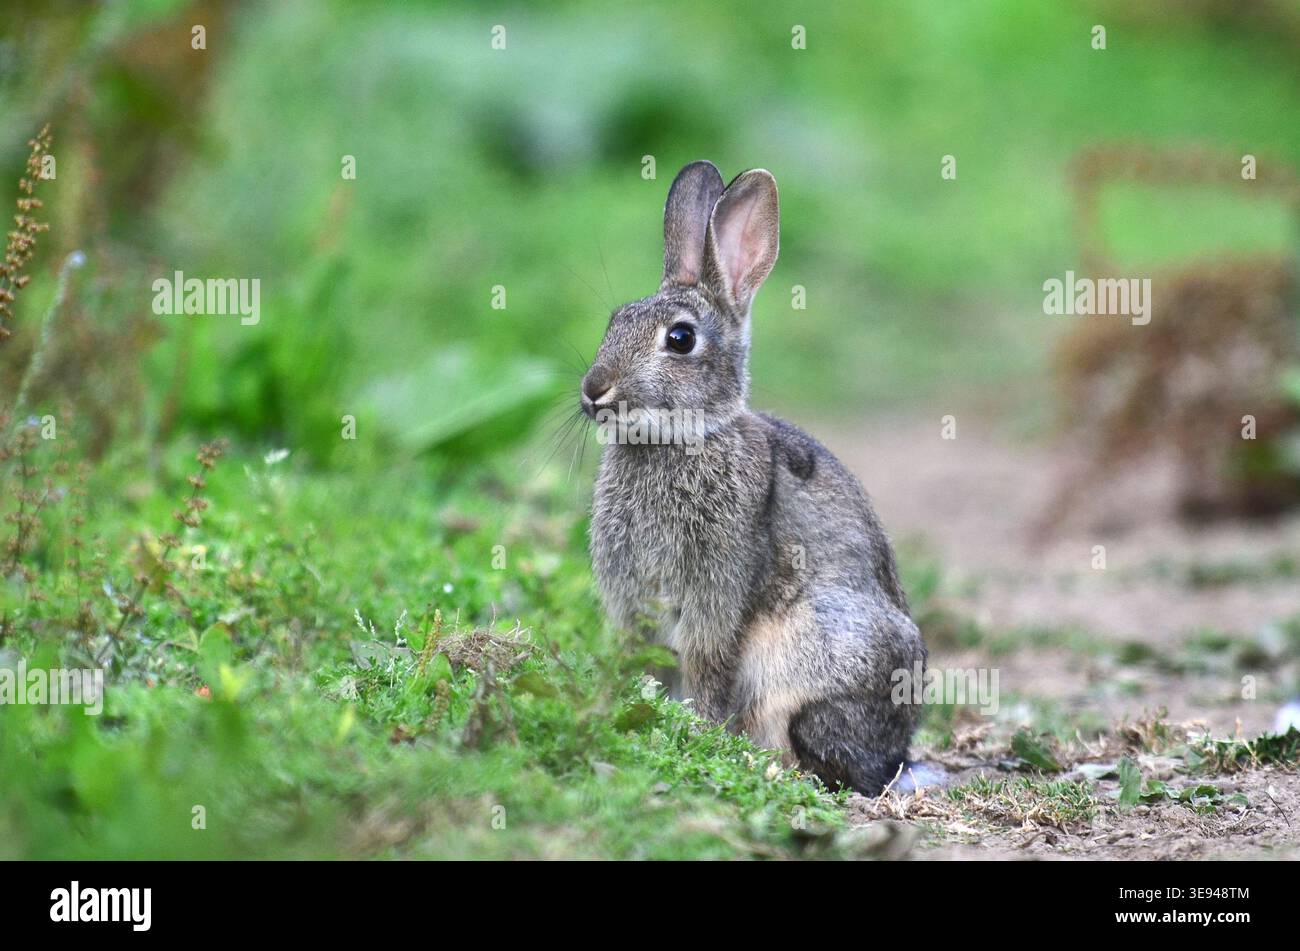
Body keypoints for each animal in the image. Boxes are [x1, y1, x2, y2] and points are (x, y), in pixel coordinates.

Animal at [582, 160, 930, 795]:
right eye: (614, 321)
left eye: (680, 339)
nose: (594, 391)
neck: (682, 438)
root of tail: (899, 754)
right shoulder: (634, 603)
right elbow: (644, 659)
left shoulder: (713, 598)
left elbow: (706, 662)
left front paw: (696, 730)